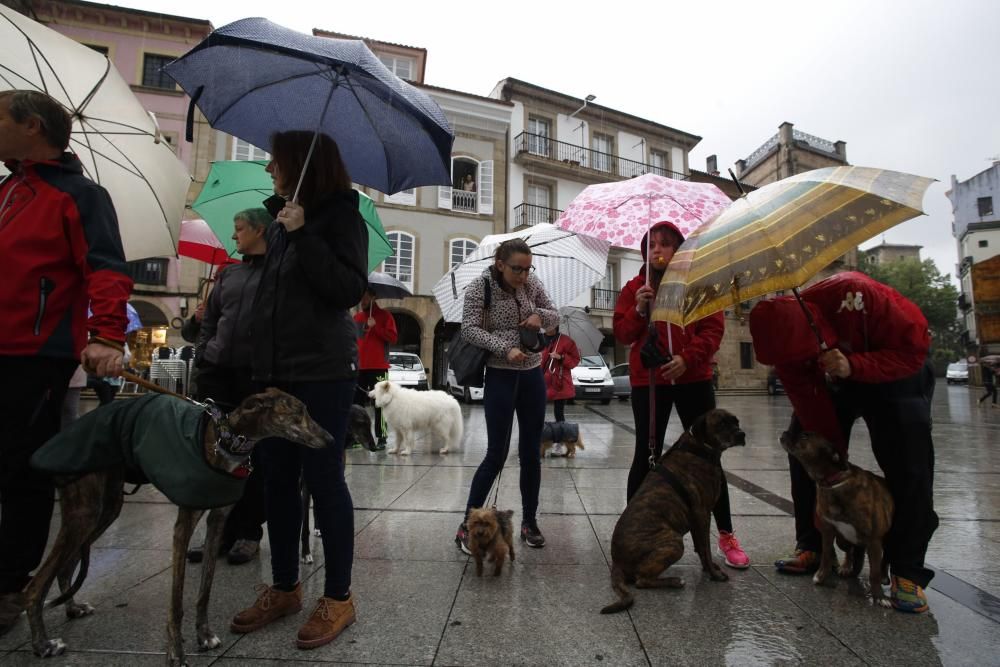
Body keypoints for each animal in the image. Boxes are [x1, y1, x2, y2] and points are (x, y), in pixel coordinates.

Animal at [24, 388, 332, 664]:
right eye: (299, 411)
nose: (329, 438)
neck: (224, 440)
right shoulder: (183, 524)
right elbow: (176, 601)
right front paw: (176, 653)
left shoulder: (218, 520)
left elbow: (204, 590)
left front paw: (204, 636)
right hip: (84, 510)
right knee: (37, 583)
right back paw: (43, 644)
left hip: (105, 509)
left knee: (65, 566)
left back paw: (73, 608)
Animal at [600, 410, 744, 620]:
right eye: (722, 424)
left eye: (736, 421)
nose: (742, 434)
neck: (698, 448)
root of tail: (616, 562)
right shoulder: (702, 514)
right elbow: (706, 549)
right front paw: (714, 575)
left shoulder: (696, 519)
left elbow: (702, 549)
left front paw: (709, 568)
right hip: (673, 543)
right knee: (641, 581)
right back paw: (675, 581)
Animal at [776, 430, 896, 608]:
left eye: (805, 437)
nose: (785, 431)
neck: (832, 481)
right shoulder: (827, 531)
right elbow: (826, 555)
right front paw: (821, 576)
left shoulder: (874, 540)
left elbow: (873, 573)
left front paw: (879, 596)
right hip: (842, 540)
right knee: (850, 551)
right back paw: (847, 566)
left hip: (887, 539)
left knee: (884, 559)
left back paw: (883, 576)